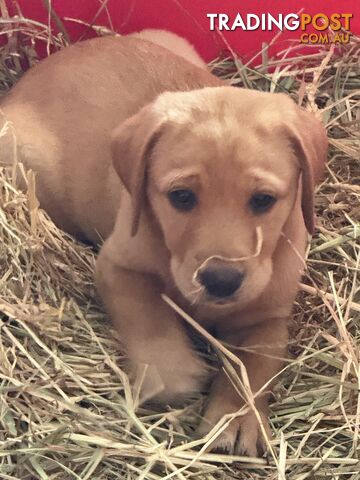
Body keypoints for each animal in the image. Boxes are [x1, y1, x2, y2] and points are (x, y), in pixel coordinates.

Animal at [0, 33, 326, 454]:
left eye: (263, 200)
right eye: (182, 197)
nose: (221, 281)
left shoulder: (267, 316)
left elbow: (255, 366)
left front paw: (237, 418)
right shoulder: (117, 266)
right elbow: (148, 314)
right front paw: (174, 372)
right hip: (19, 159)